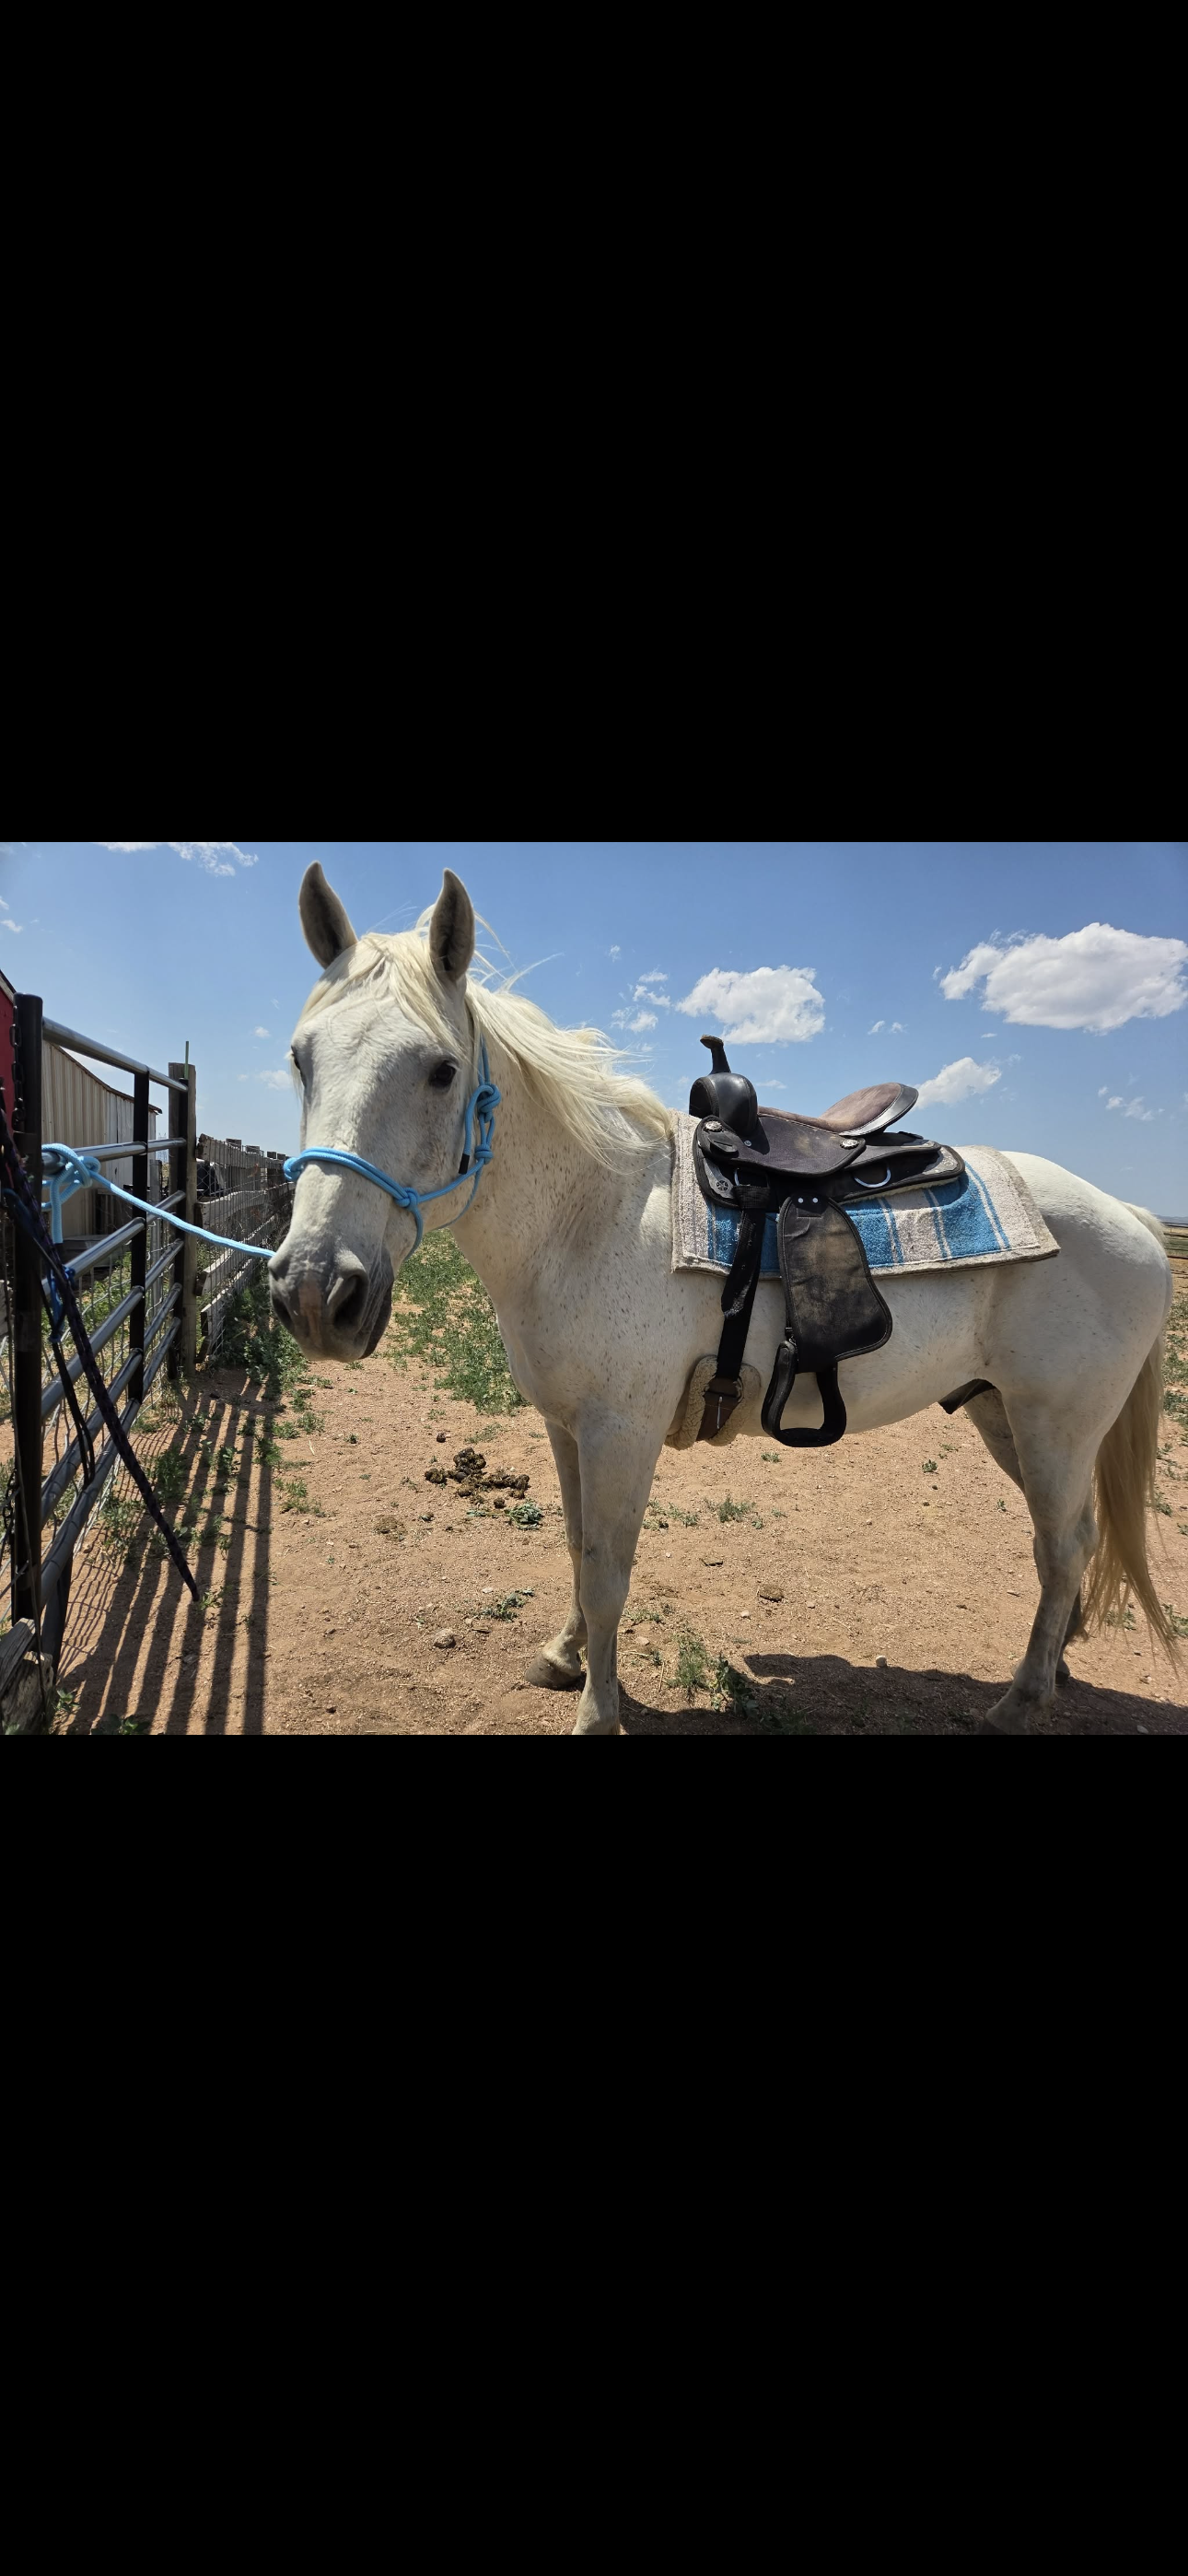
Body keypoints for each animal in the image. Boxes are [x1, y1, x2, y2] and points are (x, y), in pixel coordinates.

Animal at [268, 863, 1177, 1736]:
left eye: (442, 1069)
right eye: (300, 1058)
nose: (316, 1291)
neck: (590, 1216)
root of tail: (1129, 1215)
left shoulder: (622, 1430)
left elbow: (607, 1571)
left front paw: (597, 1710)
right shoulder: (567, 1426)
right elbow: (576, 1547)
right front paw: (563, 1657)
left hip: (1058, 1423)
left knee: (1064, 1545)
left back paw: (1021, 1700)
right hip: (1002, 1413)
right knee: (1068, 1540)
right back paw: (1056, 1665)